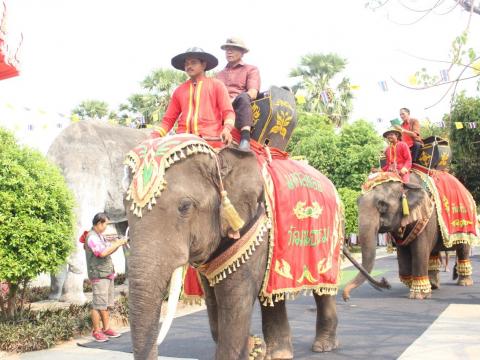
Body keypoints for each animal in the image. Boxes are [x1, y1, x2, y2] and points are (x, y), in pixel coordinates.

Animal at [344, 172, 474, 300]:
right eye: (357, 202)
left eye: (382, 205)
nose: (385, 282)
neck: (404, 183)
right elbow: (403, 255)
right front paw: (416, 287)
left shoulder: (426, 217)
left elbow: (420, 251)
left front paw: (418, 295)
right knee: (433, 252)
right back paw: (433, 286)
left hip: (466, 224)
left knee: (463, 249)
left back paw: (464, 283)